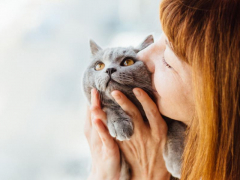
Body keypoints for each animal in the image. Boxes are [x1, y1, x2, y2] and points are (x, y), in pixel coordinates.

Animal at [83, 34, 187, 179]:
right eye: (99, 65)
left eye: (128, 62)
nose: (109, 69)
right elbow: (109, 105)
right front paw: (120, 124)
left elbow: (176, 125)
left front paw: (177, 161)